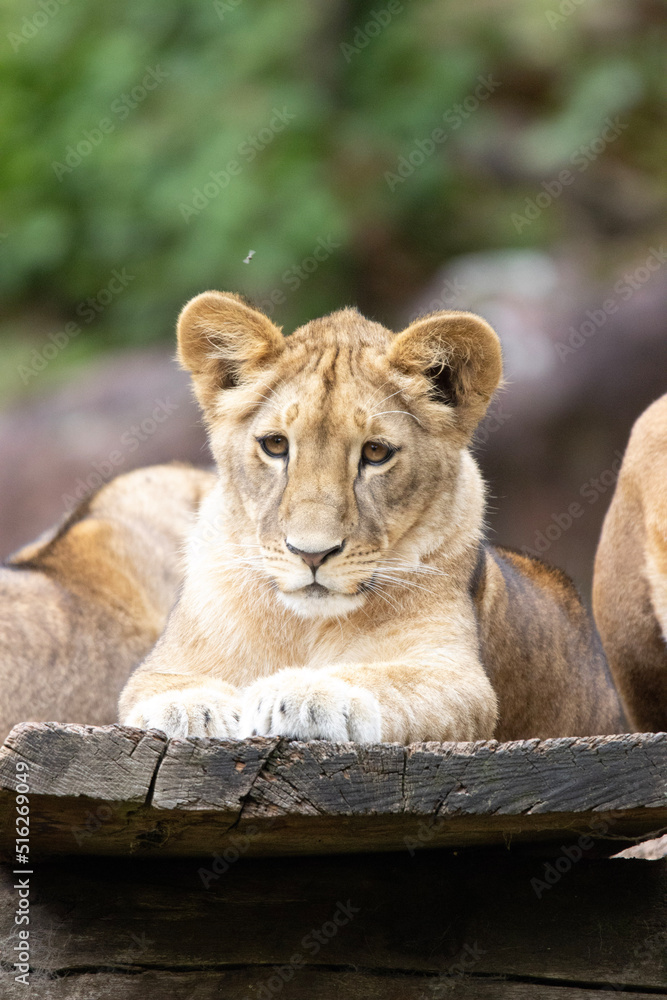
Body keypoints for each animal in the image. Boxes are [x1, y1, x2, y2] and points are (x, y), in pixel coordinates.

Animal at [119, 292, 626, 743]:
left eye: (376, 453)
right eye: (276, 445)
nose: (312, 554)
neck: (305, 627)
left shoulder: (457, 675)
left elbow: (383, 680)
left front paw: (304, 692)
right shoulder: (165, 664)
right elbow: (157, 686)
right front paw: (190, 707)